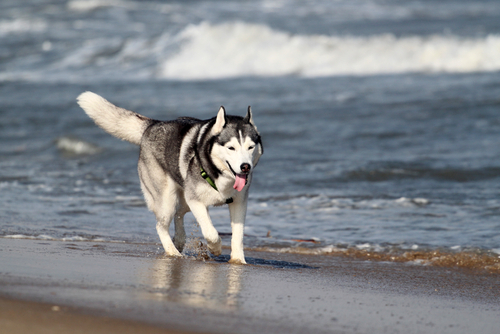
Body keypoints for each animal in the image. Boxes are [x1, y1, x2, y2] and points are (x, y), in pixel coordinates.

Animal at [76, 91, 264, 264]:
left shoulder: (239, 202)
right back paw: (173, 252)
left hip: (182, 198)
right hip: (167, 199)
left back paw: (179, 241)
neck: (218, 174)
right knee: (161, 225)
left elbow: (238, 235)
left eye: (250, 147)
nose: (245, 167)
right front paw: (215, 248)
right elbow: (211, 232)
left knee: (179, 213)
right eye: (231, 148)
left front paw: (238, 260)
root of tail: (153, 124)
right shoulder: (195, 200)